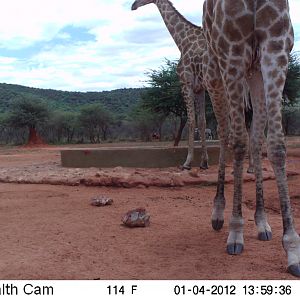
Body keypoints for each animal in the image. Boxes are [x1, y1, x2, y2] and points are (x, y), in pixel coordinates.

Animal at [131, 0, 209, 169]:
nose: (133, 6)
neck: (183, 41)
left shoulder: (186, 83)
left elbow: (192, 121)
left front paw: (187, 162)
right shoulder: (199, 89)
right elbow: (202, 122)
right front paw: (204, 163)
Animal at [202, 0, 300, 276]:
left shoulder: (275, 49)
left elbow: (276, 146)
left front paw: (292, 247)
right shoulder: (232, 54)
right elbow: (237, 143)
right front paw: (235, 231)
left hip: (254, 72)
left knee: (255, 141)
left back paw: (262, 222)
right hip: (215, 71)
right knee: (226, 134)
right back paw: (218, 213)